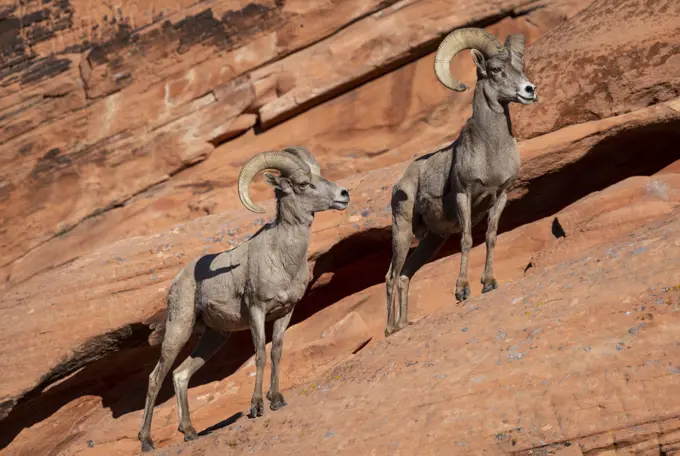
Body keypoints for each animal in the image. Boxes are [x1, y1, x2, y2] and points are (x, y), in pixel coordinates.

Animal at [138, 147, 350, 452]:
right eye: (303, 184)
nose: (344, 194)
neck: (282, 257)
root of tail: (177, 281)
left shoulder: (286, 312)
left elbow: (276, 352)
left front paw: (277, 400)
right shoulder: (257, 311)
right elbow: (260, 354)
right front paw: (257, 407)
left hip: (214, 338)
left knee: (180, 375)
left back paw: (189, 432)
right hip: (179, 330)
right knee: (156, 377)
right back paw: (146, 441)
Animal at [388, 27, 536, 334]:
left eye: (520, 67)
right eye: (495, 70)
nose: (530, 90)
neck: (491, 149)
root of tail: (401, 181)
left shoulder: (500, 195)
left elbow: (491, 237)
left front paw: (489, 284)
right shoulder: (464, 195)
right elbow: (467, 241)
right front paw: (462, 291)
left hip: (433, 240)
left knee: (405, 275)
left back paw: (404, 323)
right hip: (403, 232)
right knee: (391, 276)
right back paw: (390, 329)